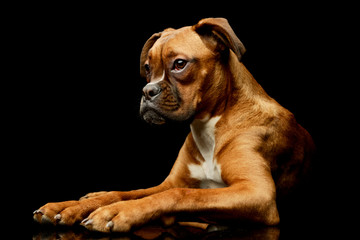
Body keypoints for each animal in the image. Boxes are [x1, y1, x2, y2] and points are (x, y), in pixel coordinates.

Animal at [33, 17, 316, 232]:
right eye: (147, 68)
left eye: (179, 64)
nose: (147, 91)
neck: (209, 127)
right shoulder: (169, 183)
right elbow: (130, 192)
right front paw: (69, 206)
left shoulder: (256, 193)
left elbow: (181, 195)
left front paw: (117, 212)